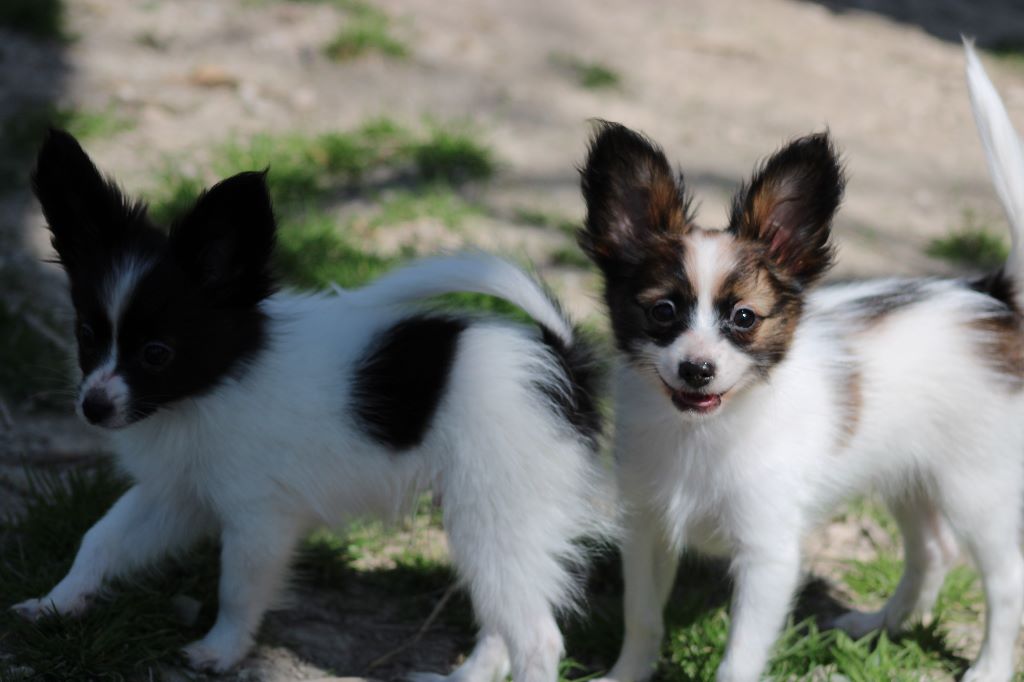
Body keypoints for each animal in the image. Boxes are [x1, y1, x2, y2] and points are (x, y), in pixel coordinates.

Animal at [12, 129, 610, 679]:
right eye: (87, 335)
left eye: (157, 354)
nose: (93, 408)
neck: (210, 387)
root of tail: (560, 360)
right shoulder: (179, 492)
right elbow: (101, 538)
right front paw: (56, 602)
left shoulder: (259, 518)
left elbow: (237, 589)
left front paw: (220, 650)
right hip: (488, 524)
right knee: (501, 623)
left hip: (495, 516)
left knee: (536, 637)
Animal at [585, 41, 1024, 679]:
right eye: (663, 311)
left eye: (744, 318)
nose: (697, 370)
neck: (703, 433)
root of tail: (992, 298)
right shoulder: (646, 527)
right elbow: (642, 620)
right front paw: (624, 675)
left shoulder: (768, 555)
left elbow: (738, 660)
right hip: (909, 475)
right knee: (934, 551)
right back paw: (878, 626)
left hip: (976, 488)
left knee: (1006, 578)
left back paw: (987, 666)